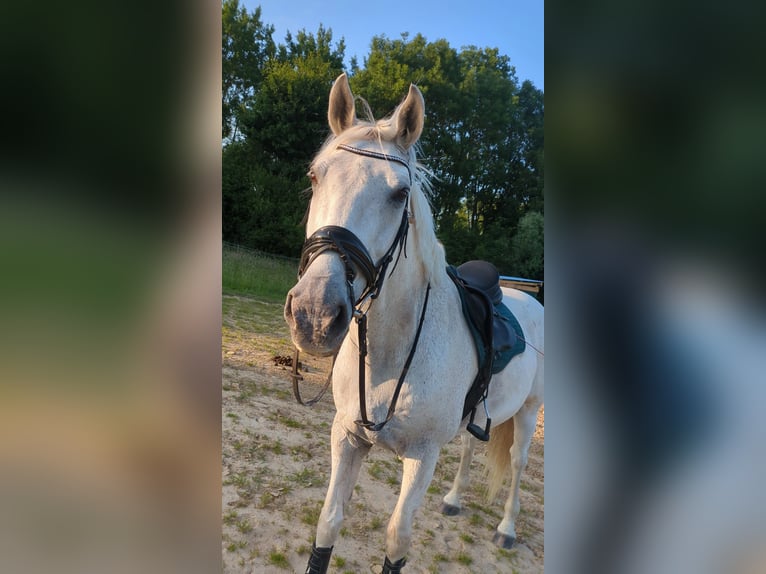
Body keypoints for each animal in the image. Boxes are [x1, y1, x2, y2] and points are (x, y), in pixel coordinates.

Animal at [284, 73, 544, 574]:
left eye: (399, 194)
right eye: (314, 176)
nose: (315, 316)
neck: (392, 351)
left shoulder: (422, 458)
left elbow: (396, 540)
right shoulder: (346, 437)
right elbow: (328, 524)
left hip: (529, 411)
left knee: (519, 462)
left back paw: (506, 528)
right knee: (471, 449)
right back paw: (454, 500)